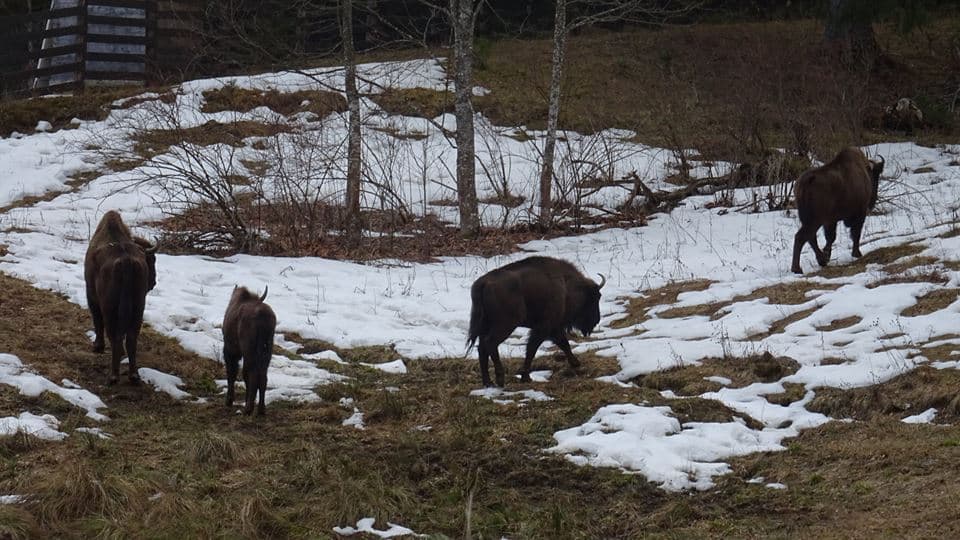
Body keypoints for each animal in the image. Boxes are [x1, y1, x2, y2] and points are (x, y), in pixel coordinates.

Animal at [84, 210, 157, 384]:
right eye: (152, 259)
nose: (153, 282)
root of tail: (126, 261)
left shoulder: (92, 296)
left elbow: (97, 321)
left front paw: (97, 347)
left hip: (110, 308)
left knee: (114, 336)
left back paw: (113, 376)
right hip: (138, 308)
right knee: (131, 338)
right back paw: (134, 376)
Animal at [222, 285, 276, 416]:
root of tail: (263, 317)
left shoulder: (229, 350)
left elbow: (232, 373)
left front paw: (229, 400)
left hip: (249, 350)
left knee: (252, 374)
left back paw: (248, 408)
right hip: (267, 349)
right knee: (263, 376)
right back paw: (261, 409)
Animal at [467, 256, 605, 387]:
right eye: (594, 297)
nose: (596, 320)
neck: (565, 286)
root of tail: (484, 283)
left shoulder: (553, 328)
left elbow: (563, 344)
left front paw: (576, 363)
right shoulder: (545, 327)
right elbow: (532, 349)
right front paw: (526, 377)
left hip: (485, 326)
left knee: (482, 348)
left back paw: (488, 382)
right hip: (505, 326)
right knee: (490, 344)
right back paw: (500, 379)